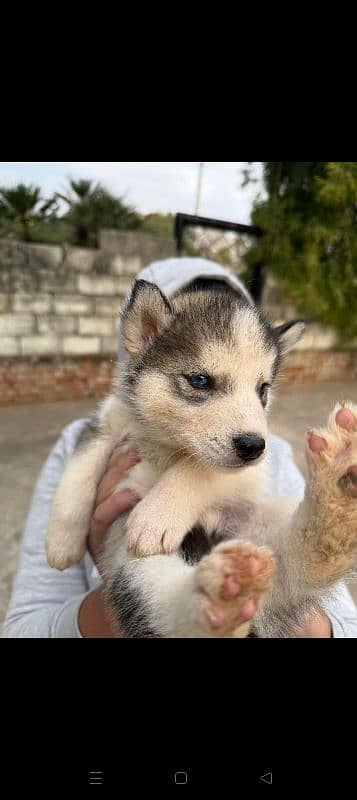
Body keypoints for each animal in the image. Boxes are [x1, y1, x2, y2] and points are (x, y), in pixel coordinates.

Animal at [46, 276, 354, 636]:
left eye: (262, 390)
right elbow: (78, 472)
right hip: (134, 567)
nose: (253, 446)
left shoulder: (250, 472)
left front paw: (157, 515)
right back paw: (223, 594)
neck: (167, 444)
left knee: (303, 556)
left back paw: (337, 490)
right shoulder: (104, 426)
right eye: (200, 380)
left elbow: (197, 469)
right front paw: (61, 542)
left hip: (257, 529)